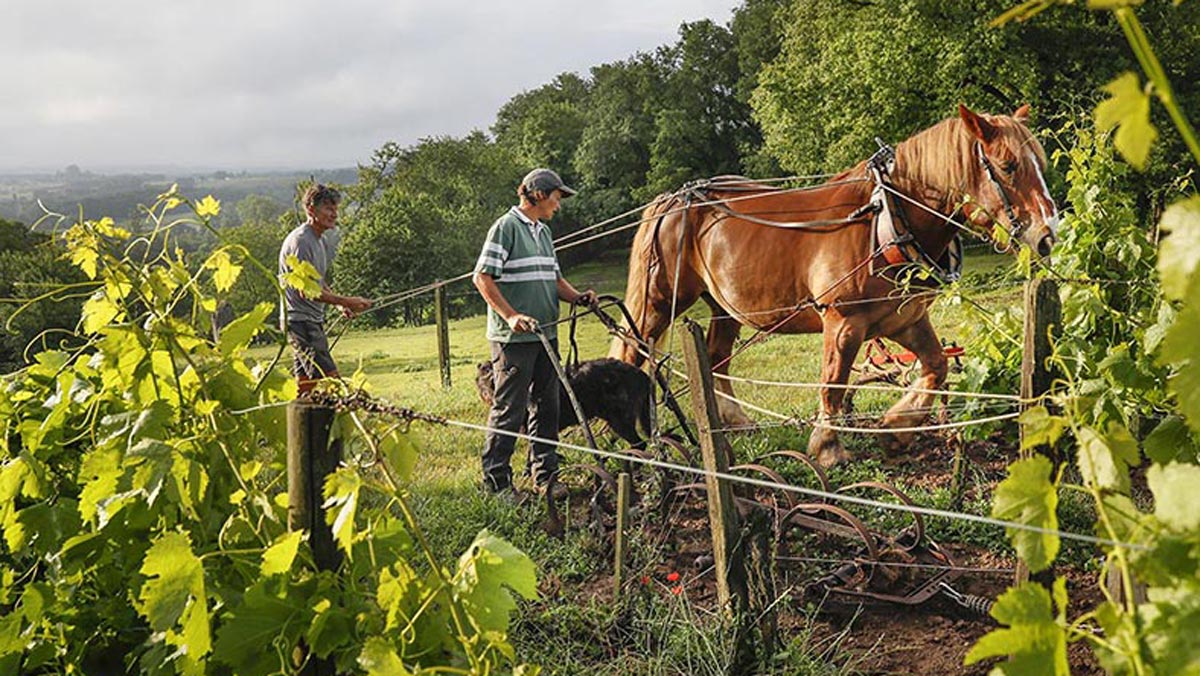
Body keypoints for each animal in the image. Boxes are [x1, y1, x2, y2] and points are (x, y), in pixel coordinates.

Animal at [472, 357, 652, 446]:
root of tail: (641, 374)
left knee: (640, 445)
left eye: (491, 371)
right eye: (484, 372)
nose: (490, 385)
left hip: (621, 420)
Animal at [614, 104, 1056, 465]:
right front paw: (828, 447)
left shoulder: (906, 320)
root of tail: (676, 198)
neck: (887, 221)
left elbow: (936, 367)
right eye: (1008, 165)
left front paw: (896, 430)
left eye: (1040, 164)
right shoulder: (842, 322)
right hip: (659, 300)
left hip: (723, 305)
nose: (1047, 236)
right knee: (632, 353)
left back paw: (734, 422)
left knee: (716, 358)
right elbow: (833, 384)